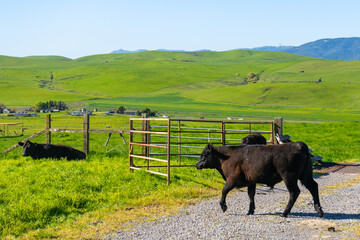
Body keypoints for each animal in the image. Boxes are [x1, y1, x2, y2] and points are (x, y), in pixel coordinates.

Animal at [195, 142, 324, 218]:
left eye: (204, 155)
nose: (197, 165)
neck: (227, 157)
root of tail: (298, 144)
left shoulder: (232, 179)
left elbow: (224, 190)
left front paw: (223, 206)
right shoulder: (251, 181)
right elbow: (251, 195)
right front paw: (250, 210)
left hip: (289, 177)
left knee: (294, 192)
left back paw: (285, 212)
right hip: (305, 176)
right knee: (313, 187)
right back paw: (319, 210)